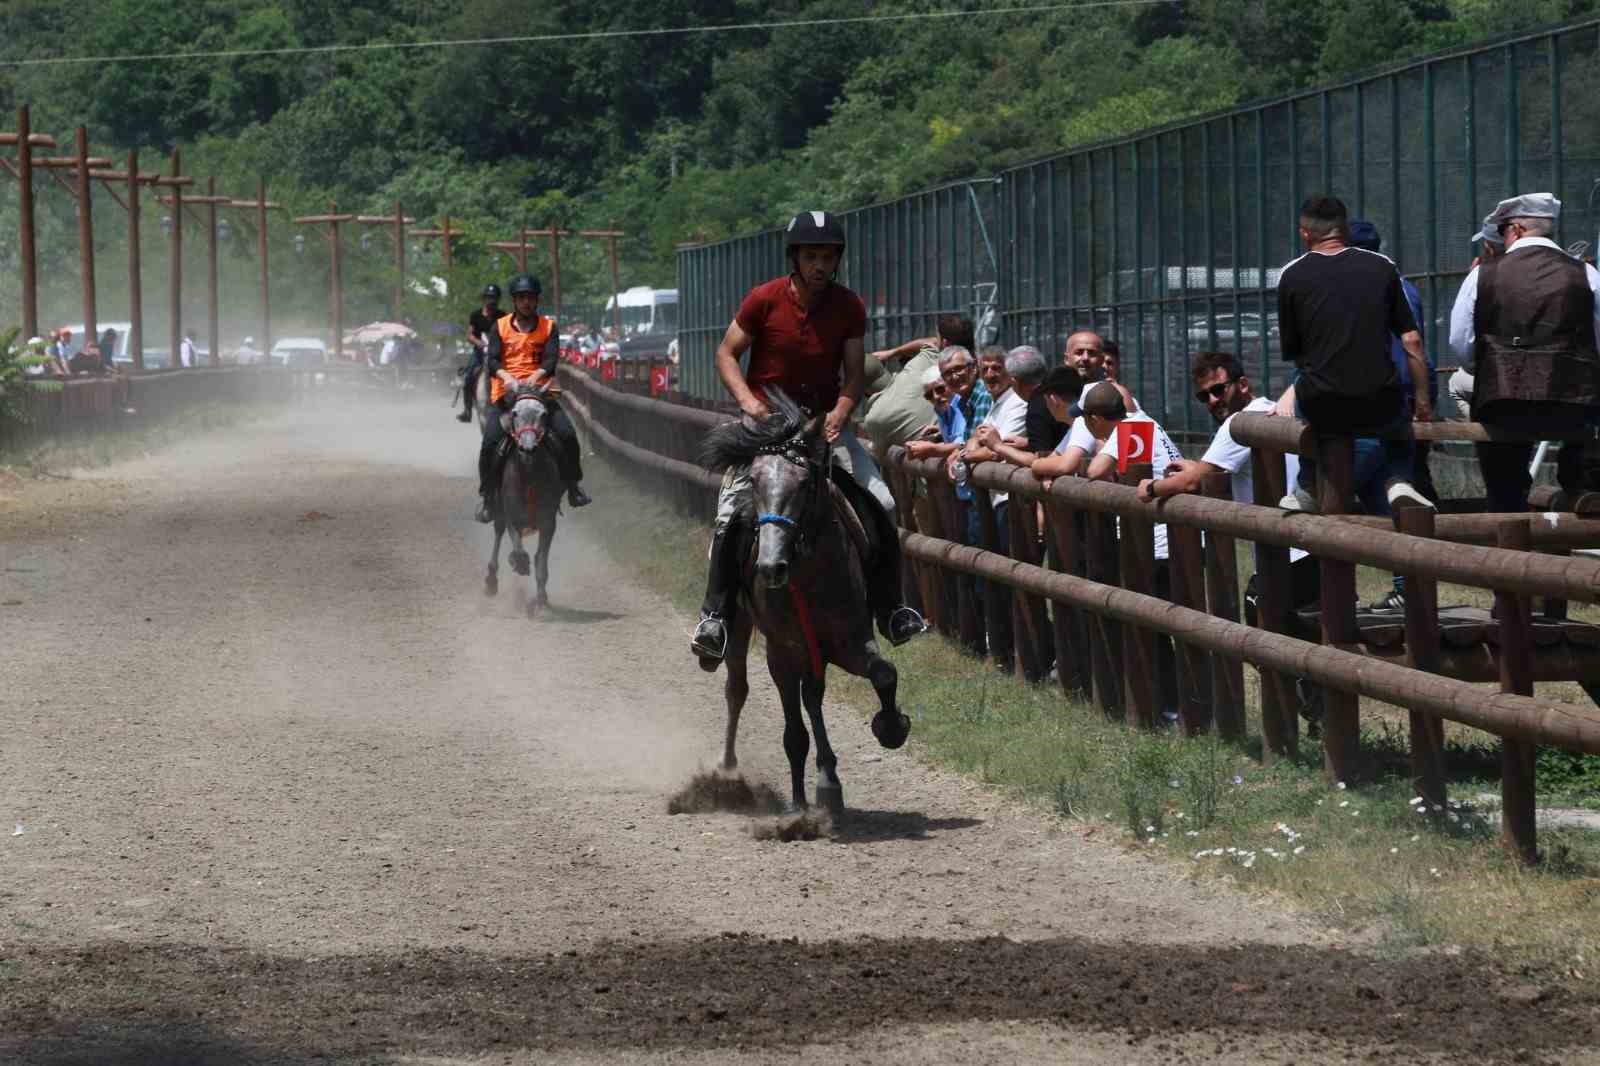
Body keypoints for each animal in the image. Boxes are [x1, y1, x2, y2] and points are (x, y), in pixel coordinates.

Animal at [486, 382, 563, 614]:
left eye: (543, 414)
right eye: (515, 413)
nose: (528, 446)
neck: (529, 473)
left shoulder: (548, 522)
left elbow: (541, 562)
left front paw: (542, 602)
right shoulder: (513, 516)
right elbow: (518, 549)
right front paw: (519, 564)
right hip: (499, 510)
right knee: (499, 531)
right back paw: (491, 580)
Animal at [700, 390, 915, 813]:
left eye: (803, 483)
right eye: (755, 481)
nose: (771, 566)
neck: (811, 574)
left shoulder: (851, 639)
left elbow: (883, 674)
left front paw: (891, 727)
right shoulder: (782, 651)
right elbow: (794, 731)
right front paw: (798, 808)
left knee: (813, 696)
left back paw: (828, 778)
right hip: (742, 627)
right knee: (737, 689)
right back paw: (729, 767)